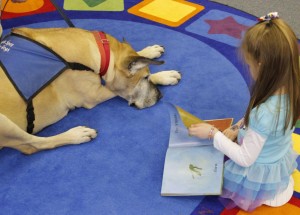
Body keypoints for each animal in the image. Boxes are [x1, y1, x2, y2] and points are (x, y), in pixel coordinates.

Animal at [0, 27, 180, 155]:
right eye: (145, 78)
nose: (160, 95)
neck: (102, 53)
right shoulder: (95, 94)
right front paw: (164, 75)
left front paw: (149, 51)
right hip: (4, 123)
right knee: (33, 145)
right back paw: (77, 134)